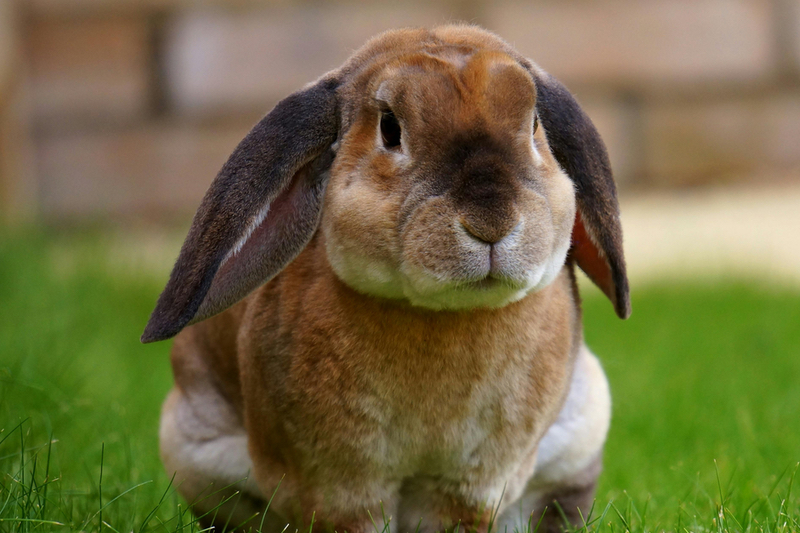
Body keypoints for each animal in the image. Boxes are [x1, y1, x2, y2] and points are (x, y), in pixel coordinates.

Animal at [142, 24, 630, 533]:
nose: (491, 221)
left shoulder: (470, 485)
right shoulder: (341, 485)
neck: (443, 316)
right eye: (390, 129)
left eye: (534, 124)